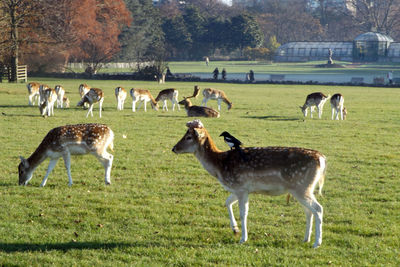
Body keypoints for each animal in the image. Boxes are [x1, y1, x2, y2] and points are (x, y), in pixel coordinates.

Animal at [171, 120, 324, 248]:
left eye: (188, 137)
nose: (174, 148)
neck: (220, 166)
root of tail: (322, 159)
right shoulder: (239, 189)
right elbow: (227, 202)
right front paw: (235, 229)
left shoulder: (241, 187)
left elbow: (243, 213)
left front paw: (243, 239)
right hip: (303, 189)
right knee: (309, 211)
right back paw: (306, 239)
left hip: (301, 187)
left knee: (318, 209)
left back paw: (317, 243)